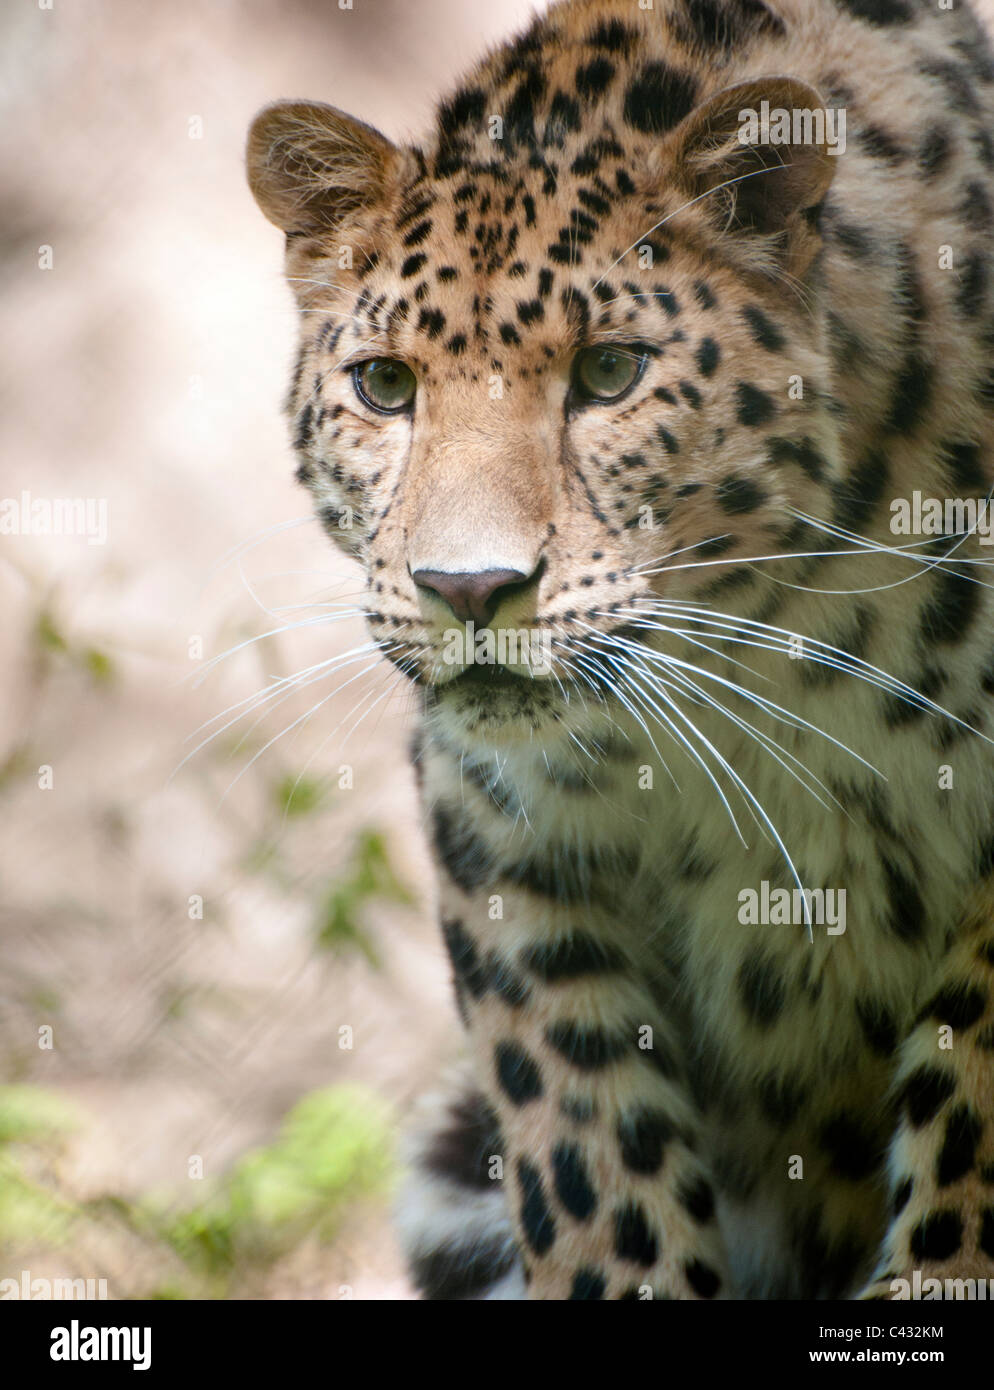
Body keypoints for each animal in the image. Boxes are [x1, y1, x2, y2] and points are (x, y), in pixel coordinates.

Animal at [246, 0, 994, 1299]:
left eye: (608, 372)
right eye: (384, 386)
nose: (468, 589)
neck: (780, 651)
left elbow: (968, 1130)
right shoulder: (513, 844)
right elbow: (591, 1158)